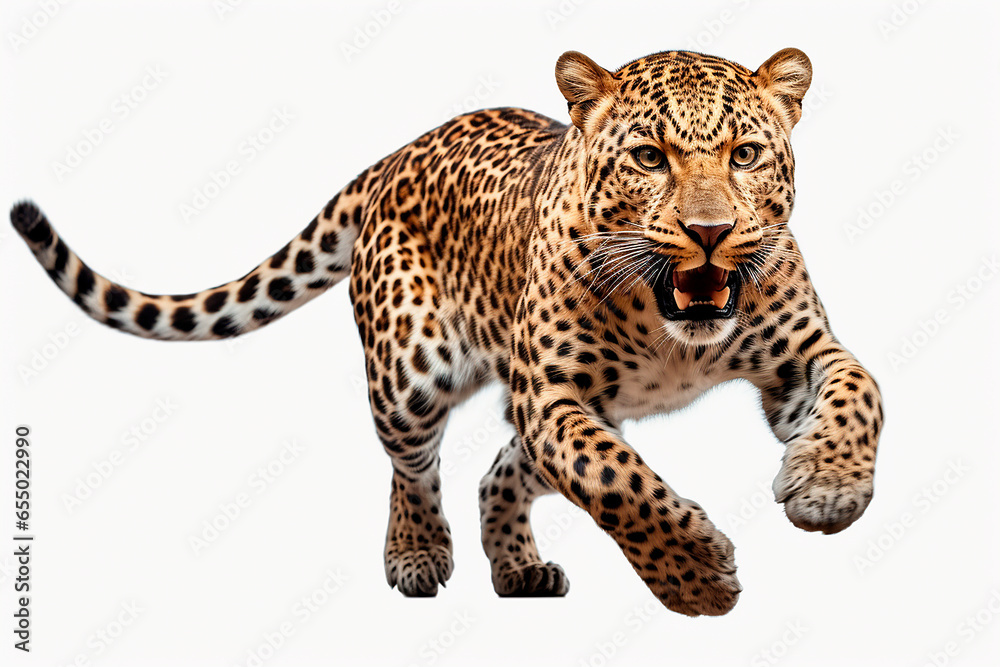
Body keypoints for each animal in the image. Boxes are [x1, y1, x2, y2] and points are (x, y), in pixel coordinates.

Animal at [10, 47, 883, 616]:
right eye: (647, 156)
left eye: (746, 154)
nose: (709, 231)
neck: (673, 330)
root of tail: (403, 149)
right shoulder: (554, 395)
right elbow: (615, 480)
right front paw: (695, 577)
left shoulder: (799, 355)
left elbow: (861, 389)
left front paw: (828, 484)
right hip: (412, 370)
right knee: (412, 465)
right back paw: (417, 553)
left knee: (499, 470)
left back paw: (520, 568)